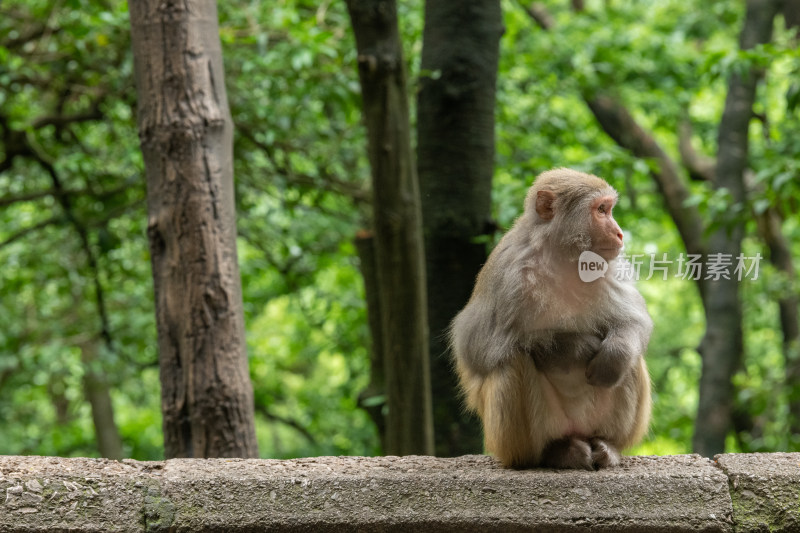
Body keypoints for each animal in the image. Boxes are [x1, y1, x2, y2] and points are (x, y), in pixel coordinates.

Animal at [450, 167, 648, 470]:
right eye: (601, 210)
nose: (619, 233)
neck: (564, 258)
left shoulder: (608, 271)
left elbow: (633, 320)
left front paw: (615, 354)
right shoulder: (509, 276)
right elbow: (477, 348)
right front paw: (577, 346)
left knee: (632, 360)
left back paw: (608, 445)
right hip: (513, 439)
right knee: (513, 359)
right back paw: (552, 453)